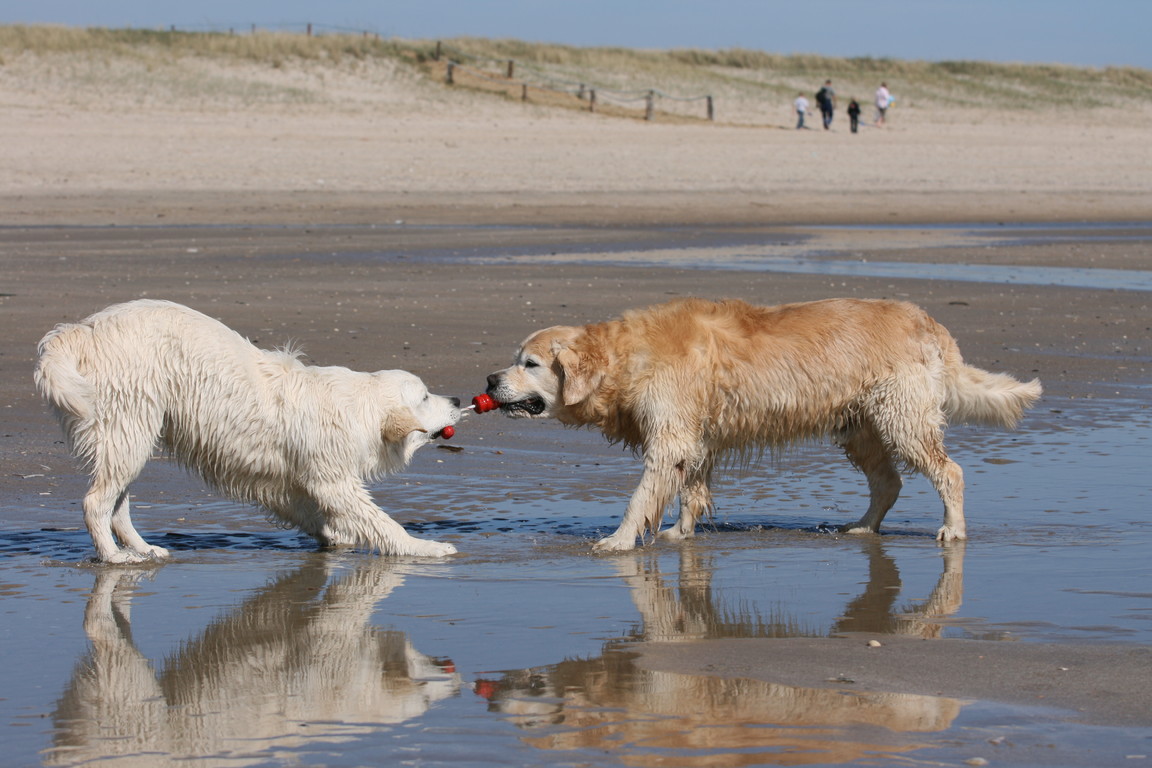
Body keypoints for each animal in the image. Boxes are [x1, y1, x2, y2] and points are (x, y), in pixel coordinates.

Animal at [36, 299, 458, 564]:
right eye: (424, 396)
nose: (455, 397)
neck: (359, 408)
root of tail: (81, 330)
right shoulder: (331, 477)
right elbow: (376, 518)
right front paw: (426, 547)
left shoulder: (284, 480)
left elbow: (306, 508)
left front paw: (337, 538)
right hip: (127, 417)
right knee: (97, 502)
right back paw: (113, 557)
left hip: (127, 432)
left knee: (118, 503)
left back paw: (145, 549)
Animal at [486, 297, 1046, 552]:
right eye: (514, 361)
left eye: (529, 363)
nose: (490, 378)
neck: (626, 359)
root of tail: (929, 321)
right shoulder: (697, 438)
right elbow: (691, 491)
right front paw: (679, 533)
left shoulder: (670, 435)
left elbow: (642, 495)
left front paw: (619, 540)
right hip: (859, 426)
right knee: (888, 481)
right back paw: (863, 526)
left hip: (901, 416)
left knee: (948, 471)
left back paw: (953, 529)